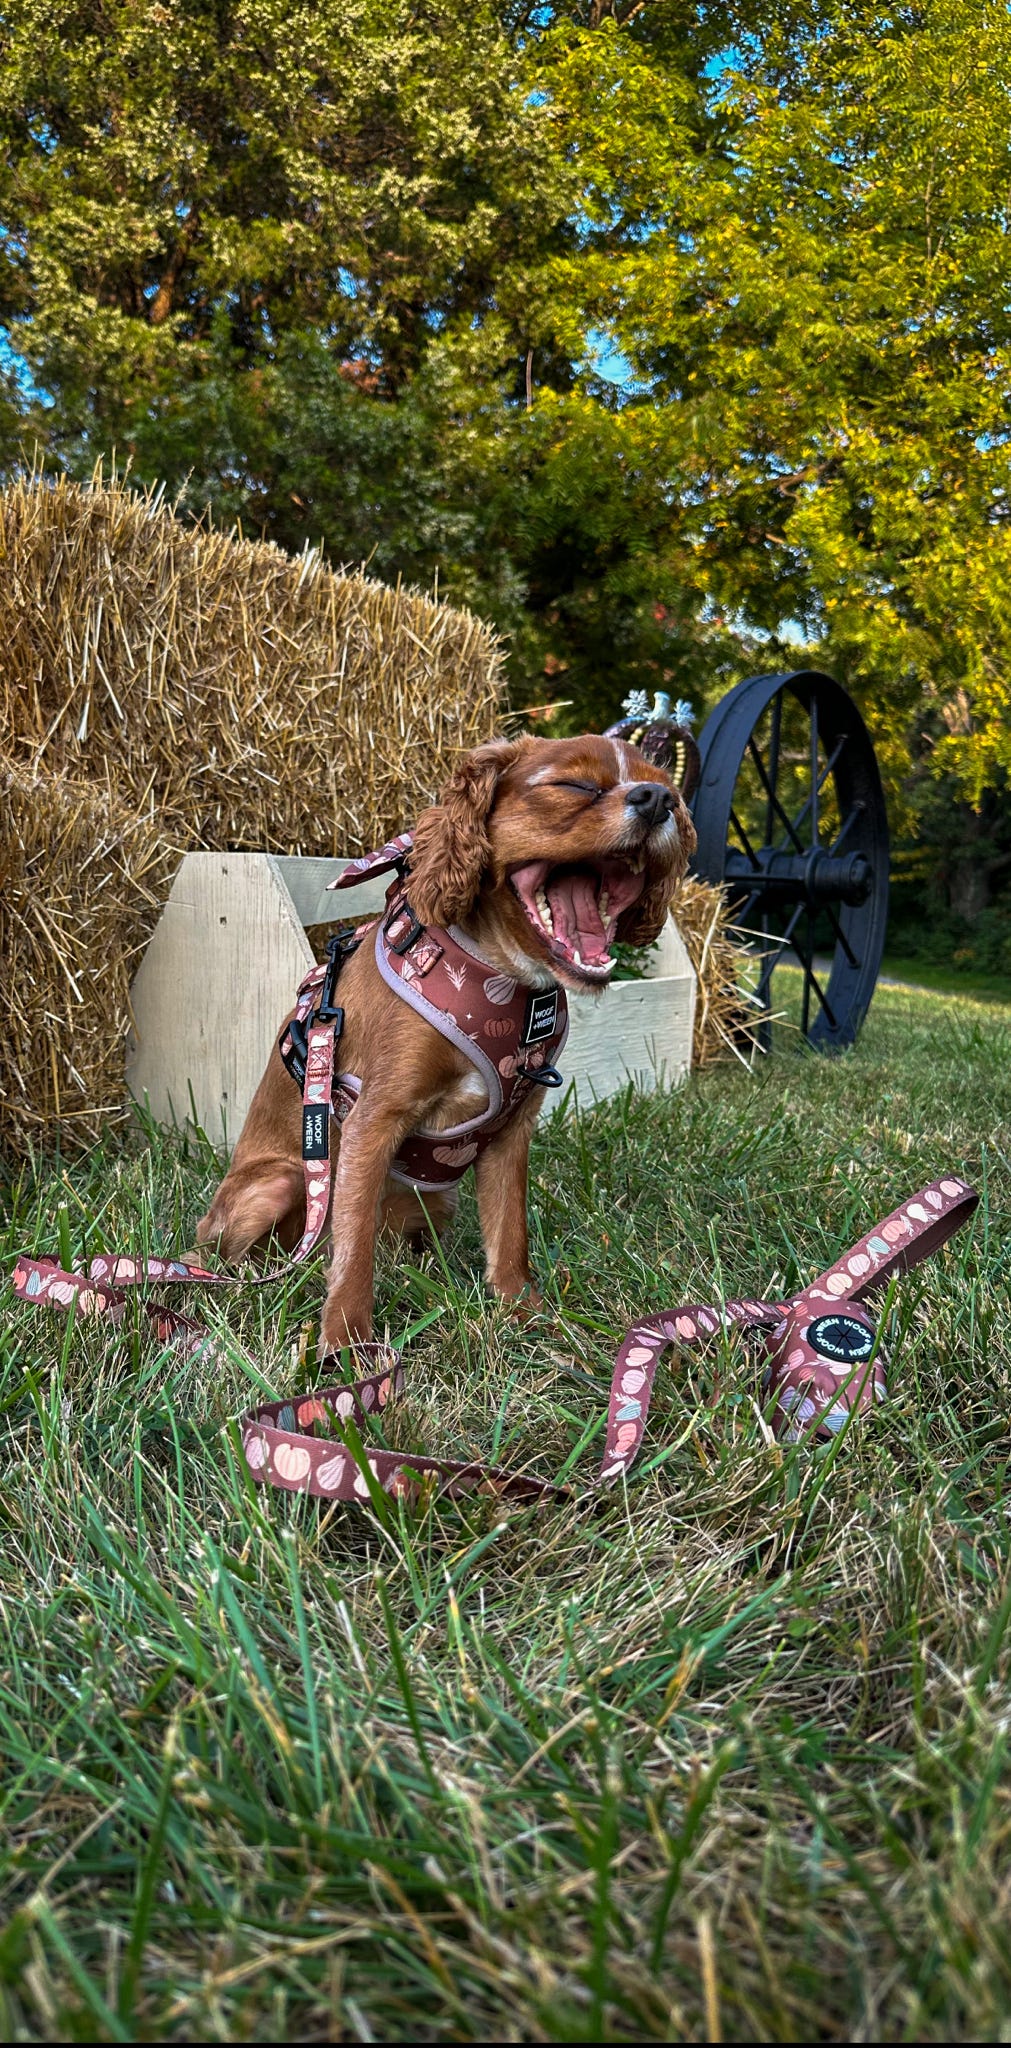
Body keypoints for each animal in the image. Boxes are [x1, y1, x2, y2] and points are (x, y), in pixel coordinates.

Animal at [195, 729, 695, 1351]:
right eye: (575, 785)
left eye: (668, 787)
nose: (657, 801)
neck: (503, 981)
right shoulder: (372, 1117)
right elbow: (353, 1250)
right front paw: (348, 1346)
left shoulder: (512, 1131)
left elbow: (509, 1233)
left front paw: (524, 1313)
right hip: (281, 1182)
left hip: (436, 1199)